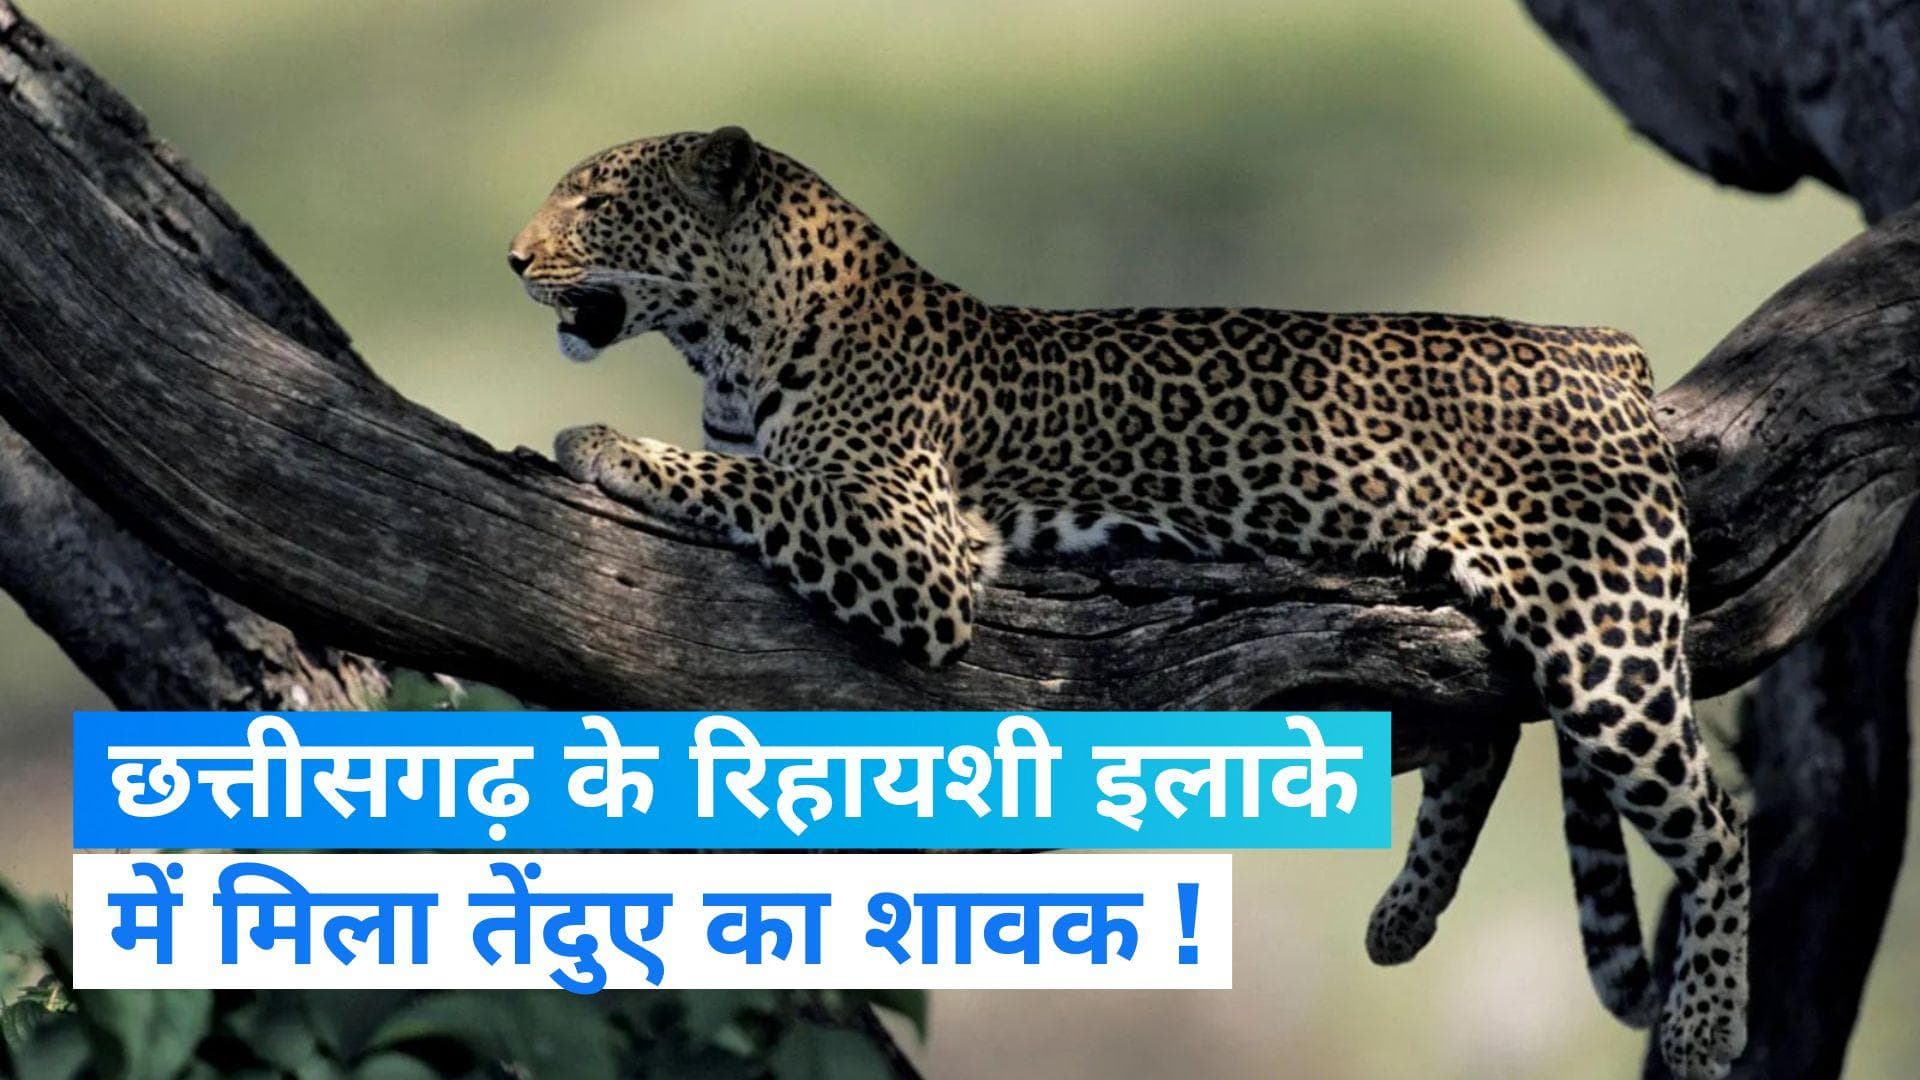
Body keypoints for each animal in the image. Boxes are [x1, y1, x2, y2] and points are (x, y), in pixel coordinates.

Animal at [509, 126, 1749, 1079]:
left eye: (598, 202)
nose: (513, 258)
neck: (729, 344)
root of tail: (1598, 343)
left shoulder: (917, 546)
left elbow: (755, 483)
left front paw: (603, 442)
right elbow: (752, 475)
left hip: (1604, 635)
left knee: (1724, 821)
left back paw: (1705, 1029)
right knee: (1482, 732)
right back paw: (1402, 919)